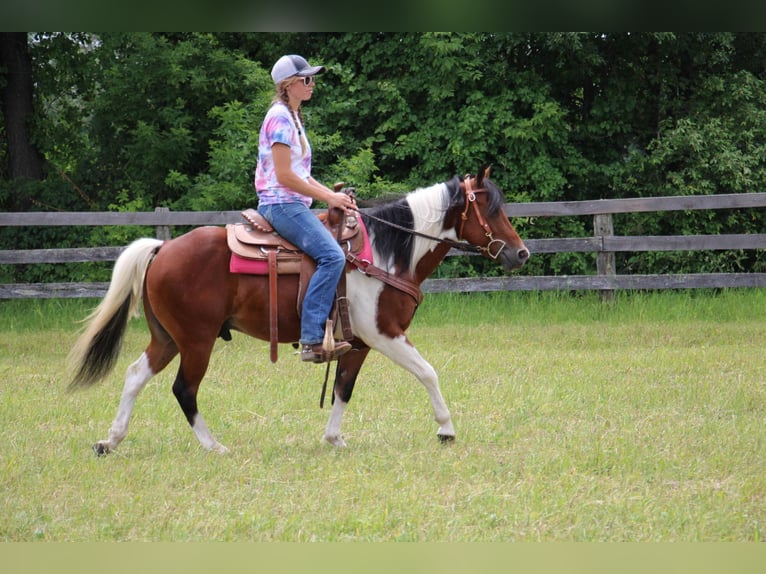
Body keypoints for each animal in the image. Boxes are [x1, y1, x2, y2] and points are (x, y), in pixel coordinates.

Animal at [69, 166, 532, 454]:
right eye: (491, 210)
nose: (521, 254)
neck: (387, 254)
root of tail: (163, 248)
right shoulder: (385, 333)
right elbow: (427, 372)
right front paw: (446, 429)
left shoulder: (358, 343)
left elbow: (344, 388)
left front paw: (334, 439)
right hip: (196, 341)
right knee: (184, 389)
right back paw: (214, 446)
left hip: (167, 338)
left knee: (135, 376)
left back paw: (110, 441)